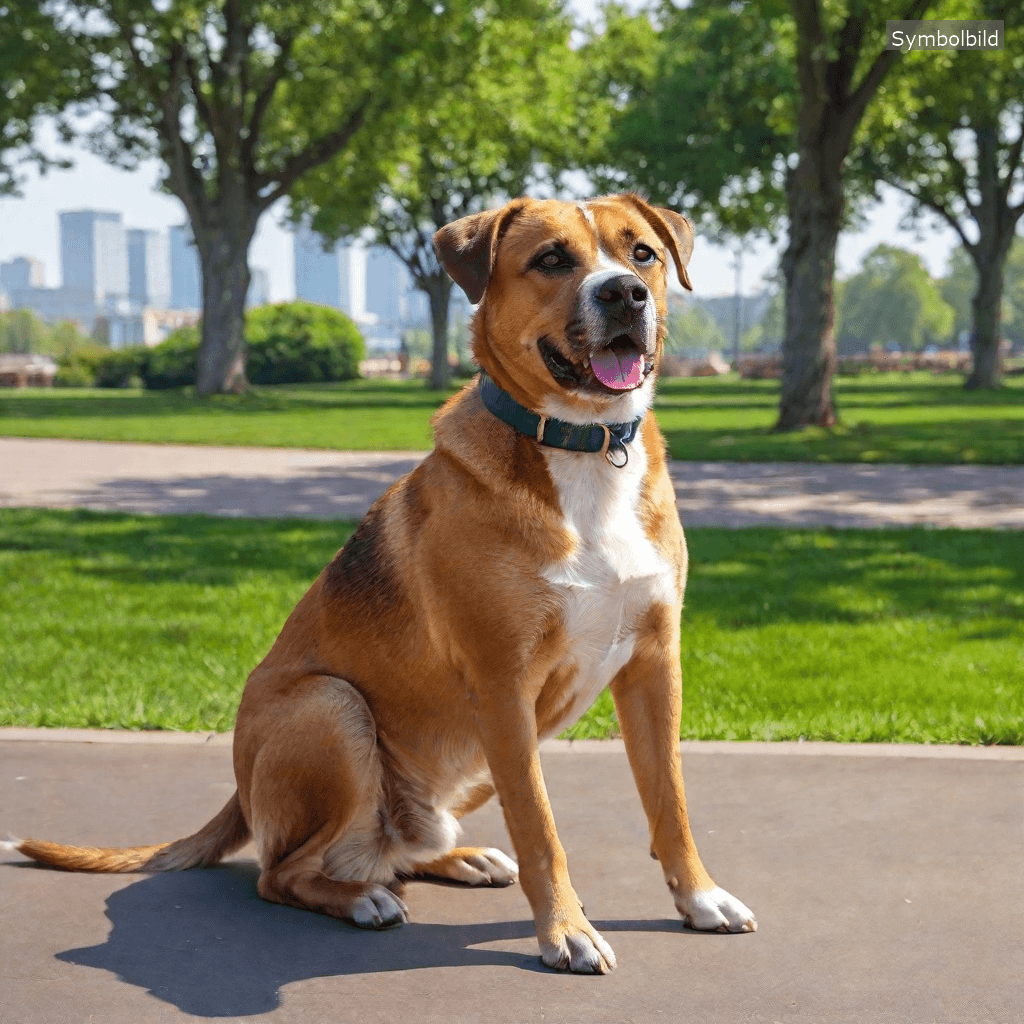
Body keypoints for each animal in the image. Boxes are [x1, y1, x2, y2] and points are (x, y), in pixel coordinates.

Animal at [9, 193, 753, 974]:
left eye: (642, 253)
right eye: (552, 258)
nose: (624, 293)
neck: (584, 447)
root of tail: (240, 791)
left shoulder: (654, 666)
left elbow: (670, 801)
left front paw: (699, 897)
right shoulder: (503, 687)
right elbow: (540, 826)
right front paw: (567, 930)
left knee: (390, 849)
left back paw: (457, 858)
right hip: (334, 709)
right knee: (285, 871)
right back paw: (362, 899)